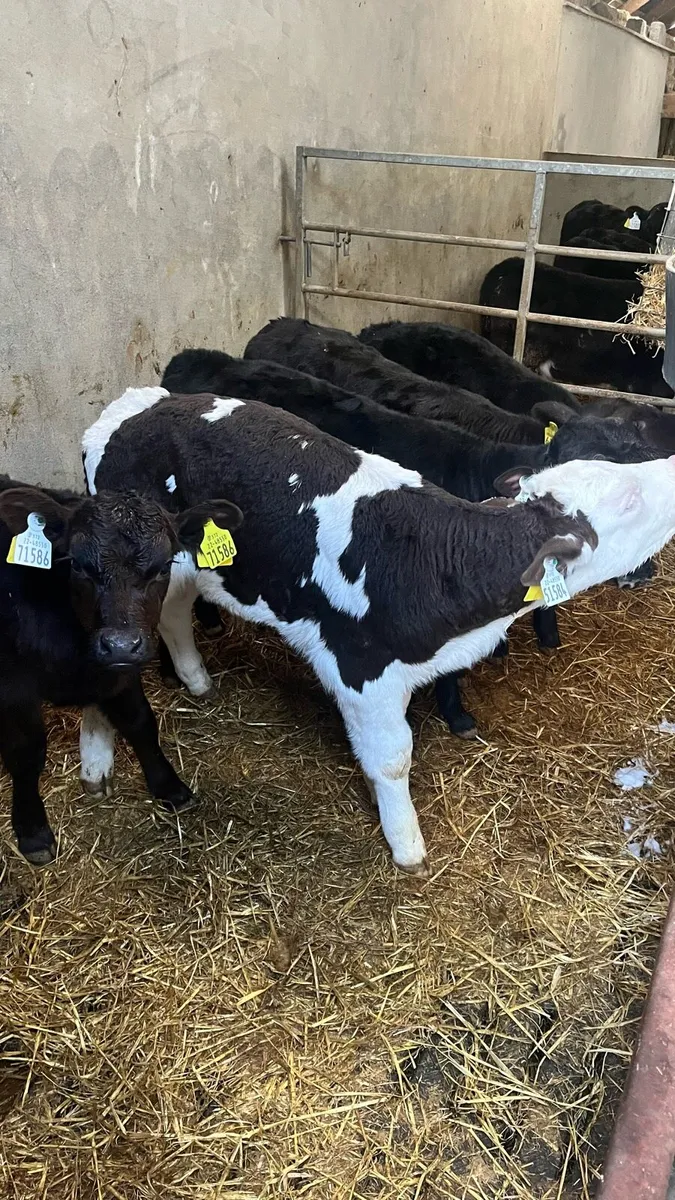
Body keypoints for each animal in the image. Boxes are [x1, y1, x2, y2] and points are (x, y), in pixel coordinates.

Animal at [0, 458, 241, 865]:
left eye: (164, 566)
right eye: (76, 564)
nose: (120, 644)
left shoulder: (121, 674)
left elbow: (141, 722)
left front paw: (168, 785)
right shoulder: (13, 687)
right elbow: (27, 753)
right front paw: (32, 831)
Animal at [84, 386, 675, 877]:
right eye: (628, 497)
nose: (671, 470)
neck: (438, 557)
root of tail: (136, 403)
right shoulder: (360, 670)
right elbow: (392, 758)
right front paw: (407, 846)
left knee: (174, 613)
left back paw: (196, 679)